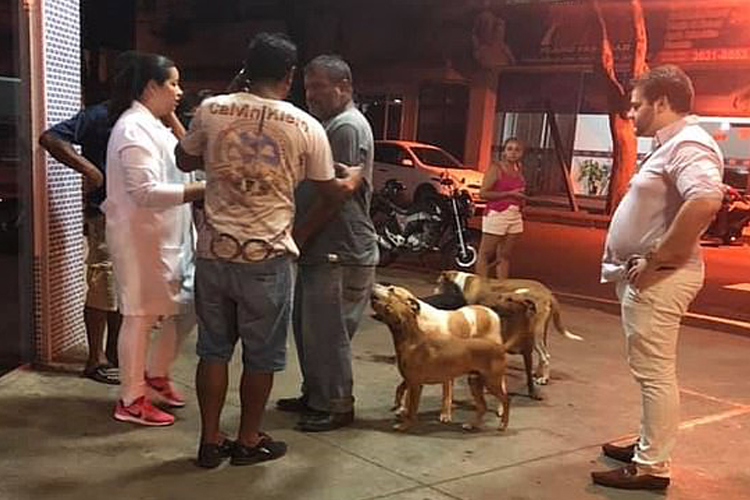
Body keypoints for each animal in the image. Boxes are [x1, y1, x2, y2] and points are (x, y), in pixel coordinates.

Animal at [371, 283, 510, 432]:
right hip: (475, 380)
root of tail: (488, 310)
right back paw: (472, 424)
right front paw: (401, 408)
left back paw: (501, 418)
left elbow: (437, 398)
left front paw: (443, 415)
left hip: (491, 380)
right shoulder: (412, 379)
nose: (372, 288)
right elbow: (403, 391)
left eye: (391, 290)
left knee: (505, 395)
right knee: (483, 405)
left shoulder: (431, 378)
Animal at [436, 271, 582, 400]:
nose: (434, 292)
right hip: (541, 332)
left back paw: (544, 379)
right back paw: (538, 374)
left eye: (438, 284)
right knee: (543, 355)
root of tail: (549, 293)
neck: (462, 283)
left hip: (535, 332)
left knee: (545, 356)